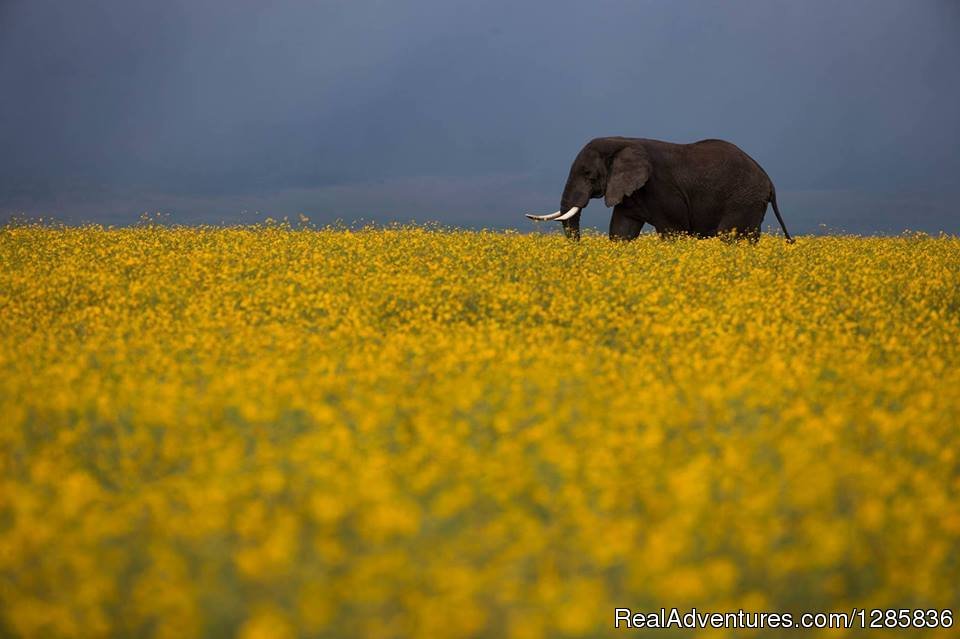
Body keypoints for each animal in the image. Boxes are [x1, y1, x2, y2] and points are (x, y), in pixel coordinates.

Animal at [528, 136, 792, 244]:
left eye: (589, 176)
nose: (578, 248)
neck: (624, 142)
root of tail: (770, 181)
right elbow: (621, 231)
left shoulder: (661, 187)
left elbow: (673, 230)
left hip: (743, 200)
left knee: (731, 236)